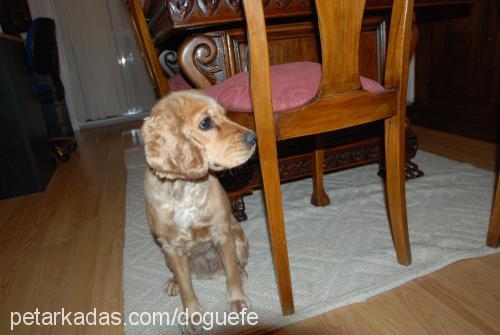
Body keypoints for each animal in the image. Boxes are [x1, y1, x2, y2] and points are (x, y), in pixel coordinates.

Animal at [142, 90, 256, 330]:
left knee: (237, 265)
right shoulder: (171, 247)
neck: (183, 188)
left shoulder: (223, 234)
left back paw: (241, 272)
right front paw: (192, 316)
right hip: (166, 256)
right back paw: (173, 282)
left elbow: (231, 274)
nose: (253, 138)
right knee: (181, 276)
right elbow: (187, 288)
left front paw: (238, 301)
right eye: (206, 123)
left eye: (225, 115)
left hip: (240, 239)